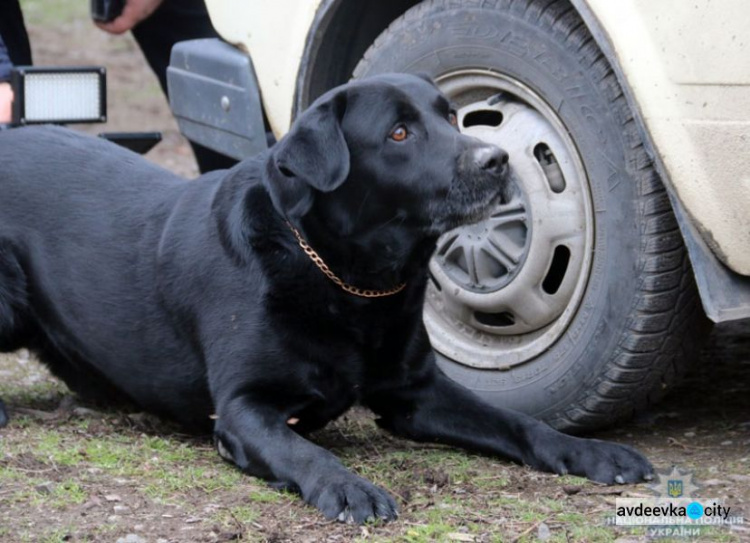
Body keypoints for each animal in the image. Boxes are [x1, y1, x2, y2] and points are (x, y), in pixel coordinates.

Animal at [0, 73, 652, 524]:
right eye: (398, 132)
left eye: (451, 116)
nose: (497, 159)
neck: (354, 280)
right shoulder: (243, 407)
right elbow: (304, 451)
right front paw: (348, 486)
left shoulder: (417, 394)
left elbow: (518, 422)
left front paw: (590, 452)